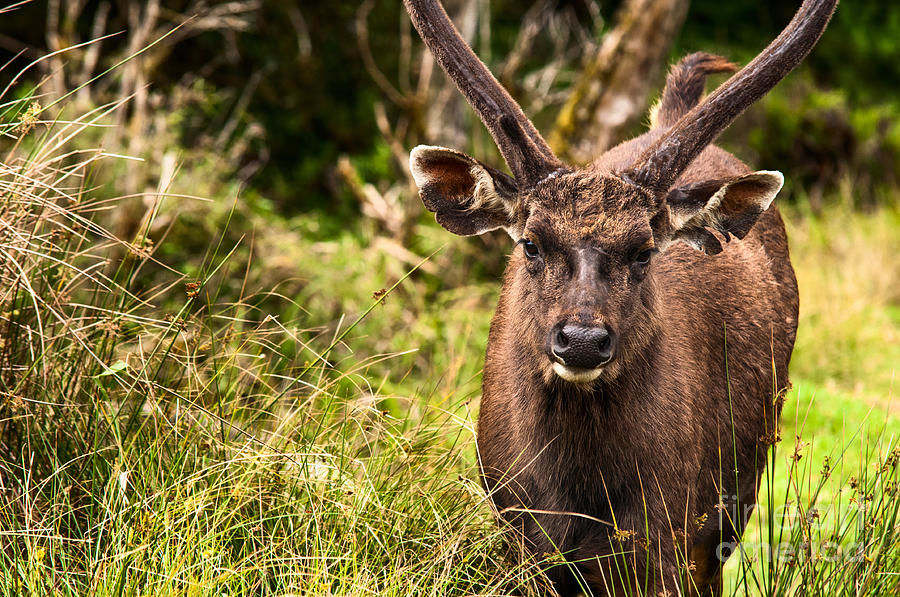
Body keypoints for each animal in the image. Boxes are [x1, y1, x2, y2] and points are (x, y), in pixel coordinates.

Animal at [400, 0, 836, 592]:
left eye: (645, 250)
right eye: (530, 243)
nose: (582, 340)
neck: (578, 495)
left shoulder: (667, 534)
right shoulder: (515, 534)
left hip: (735, 497)